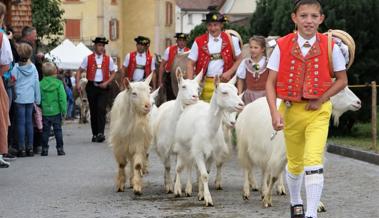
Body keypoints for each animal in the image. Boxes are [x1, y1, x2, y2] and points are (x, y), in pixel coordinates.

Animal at [174, 77, 245, 207]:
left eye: (237, 91)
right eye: (224, 92)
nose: (241, 104)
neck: (208, 128)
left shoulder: (212, 154)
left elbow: (205, 173)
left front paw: (202, 195)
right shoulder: (198, 152)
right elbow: (204, 175)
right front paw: (208, 199)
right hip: (182, 146)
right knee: (181, 167)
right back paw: (178, 190)